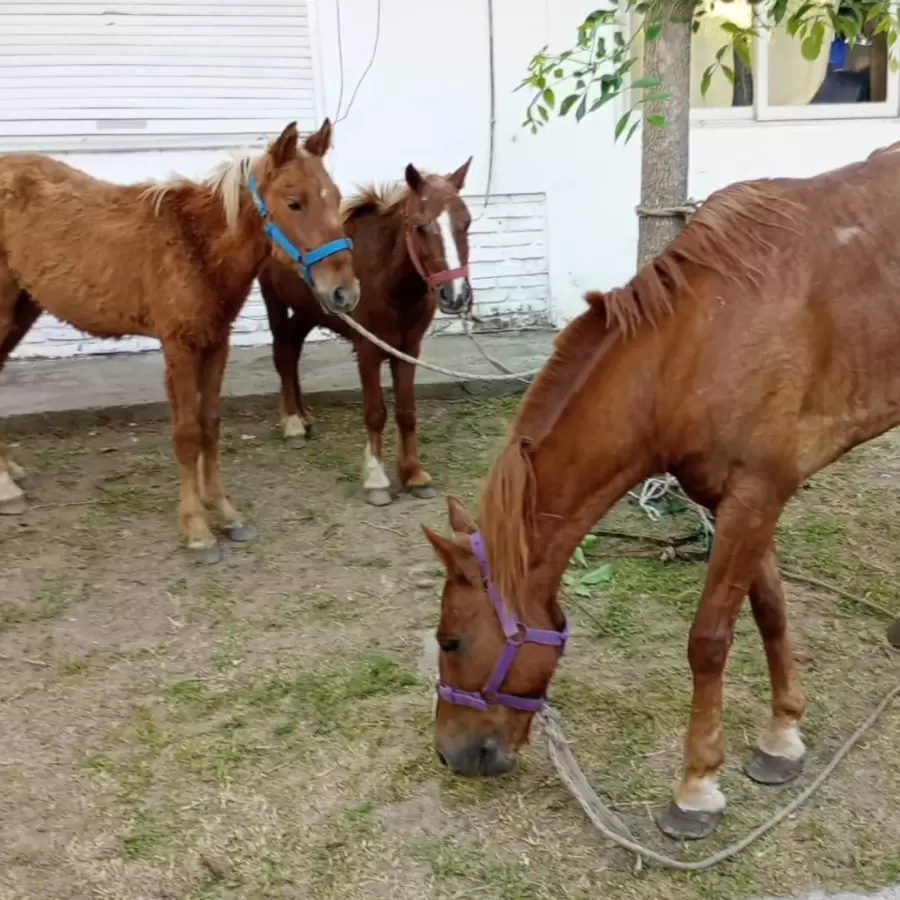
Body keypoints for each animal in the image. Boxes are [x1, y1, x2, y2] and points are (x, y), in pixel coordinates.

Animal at [0, 120, 359, 564]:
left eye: (337, 197)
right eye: (294, 202)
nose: (344, 293)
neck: (196, 247)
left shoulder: (216, 344)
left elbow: (210, 425)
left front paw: (225, 513)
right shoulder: (179, 347)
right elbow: (187, 434)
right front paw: (197, 531)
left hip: (24, 307)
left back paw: (9, 473)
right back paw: (6, 488)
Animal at [258, 157, 473, 507]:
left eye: (466, 222)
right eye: (419, 226)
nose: (456, 296)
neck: (388, 279)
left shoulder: (409, 350)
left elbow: (406, 412)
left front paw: (414, 475)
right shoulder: (367, 350)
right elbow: (375, 413)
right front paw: (376, 481)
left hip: (311, 309)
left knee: (294, 349)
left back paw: (304, 416)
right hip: (273, 300)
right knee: (282, 354)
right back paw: (292, 423)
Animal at [421, 142, 900, 842]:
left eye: (451, 641)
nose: (450, 753)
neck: (695, 343)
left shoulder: (756, 494)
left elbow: (709, 640)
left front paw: (696, 787)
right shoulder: (737, 500)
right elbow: (771, 610)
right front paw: (783, 735)